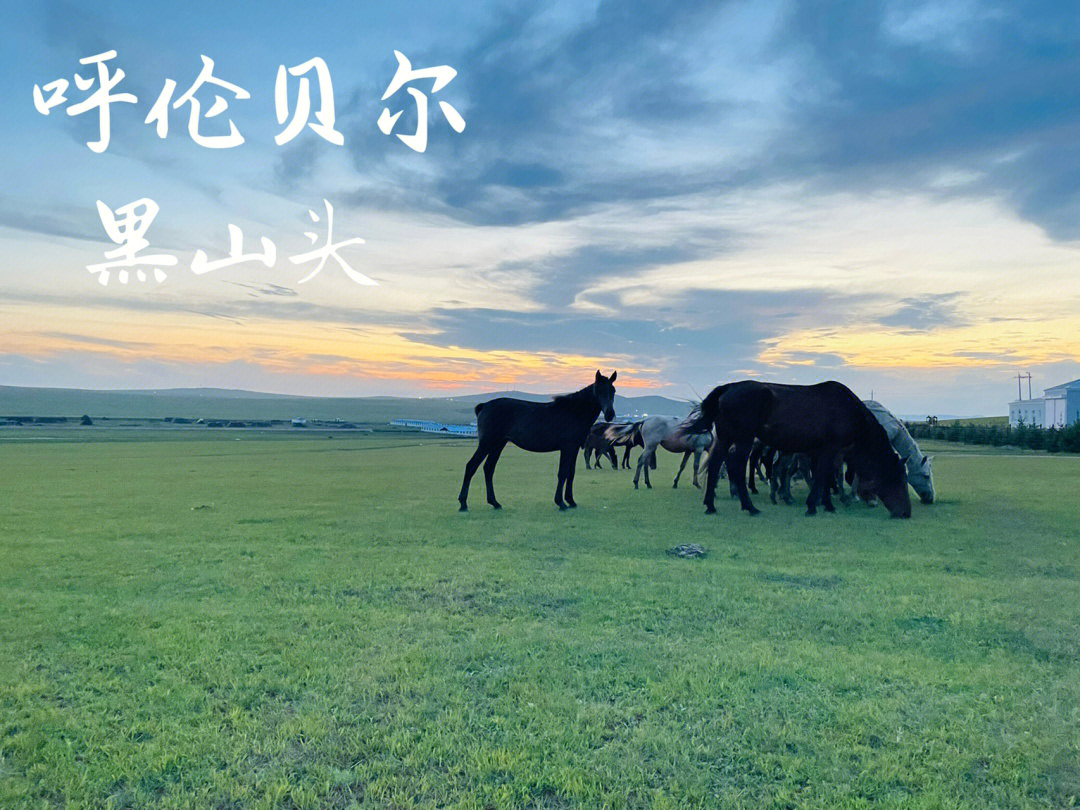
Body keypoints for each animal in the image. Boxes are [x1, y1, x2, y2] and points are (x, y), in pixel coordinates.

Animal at [460, 371, 622, 509]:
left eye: (613, 390)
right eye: (599, 390)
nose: (610, 414)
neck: (573, 412)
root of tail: (484, 406)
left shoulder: (574, 448)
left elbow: (571, 473)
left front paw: (570, 501)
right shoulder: (567, 448)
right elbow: (563, 472)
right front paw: (561, 503)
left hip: (498, 445)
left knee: (488, 468)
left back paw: (494, 502)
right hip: (487, 443)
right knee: (471, 466)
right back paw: (463, 504)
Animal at [686, 382, 907, 520]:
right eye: (896, 479)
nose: (906, 512)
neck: (848, 410)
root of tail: (727, 388)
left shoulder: (822, 451)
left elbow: (823, 476)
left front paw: (824, 503)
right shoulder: (830, 449)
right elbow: (823, 475)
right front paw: (816, 505)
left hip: (726, 438)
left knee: (715, 464)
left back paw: (711, 505)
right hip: (743, 439)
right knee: (737, 468)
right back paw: (750, 506)